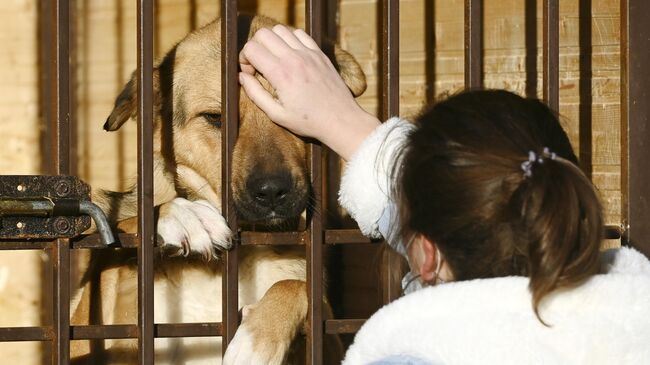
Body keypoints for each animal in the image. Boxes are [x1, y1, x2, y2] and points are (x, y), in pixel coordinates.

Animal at [69, 13, 368, 362]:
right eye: (215, 118)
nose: (272, 192)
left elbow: (297, 287)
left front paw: (256, 340)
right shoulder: (94, 332)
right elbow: (127, 233)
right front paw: (179, 215)